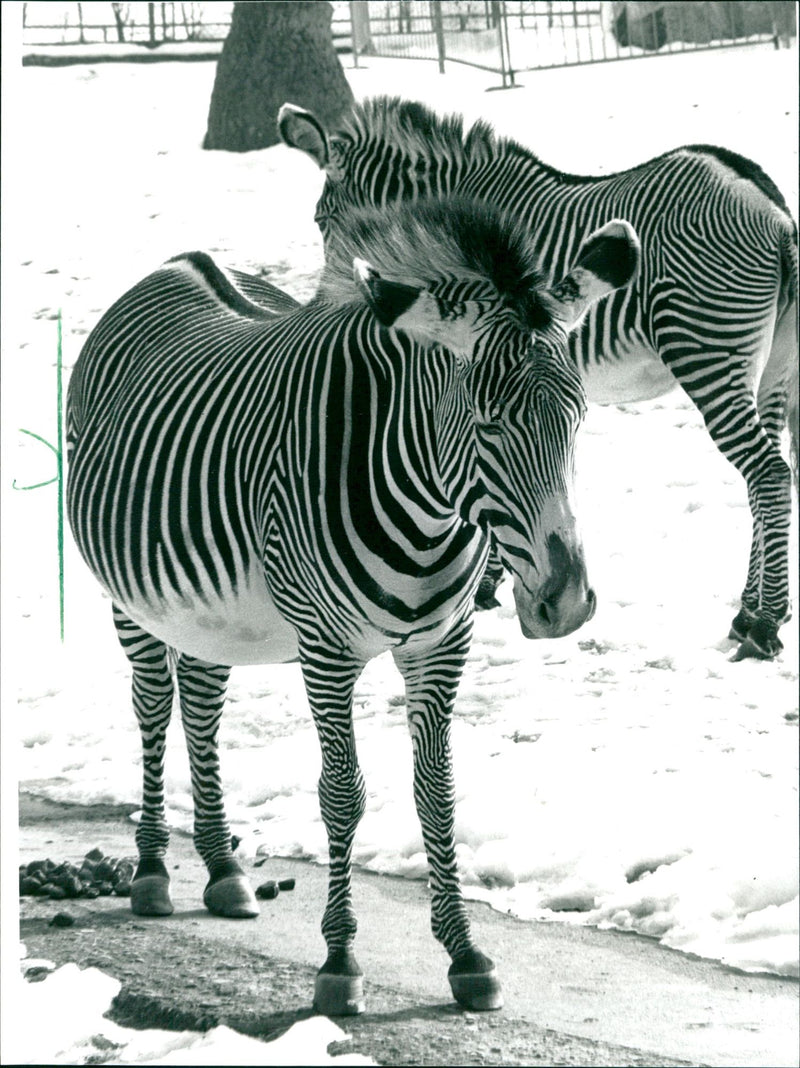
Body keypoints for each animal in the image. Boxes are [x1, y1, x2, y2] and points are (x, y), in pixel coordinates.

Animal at [67, 197, 640, 1015]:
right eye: (488, 419)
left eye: (580, 415)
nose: (566, 603)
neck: (430, 509)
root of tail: (183, 261)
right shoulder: (326, 649)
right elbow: (342, 795)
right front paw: (339, 963)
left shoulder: (442, 644)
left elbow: (437, 794)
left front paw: (466, 954)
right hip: (132, 600)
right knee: (151, 704)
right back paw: (151, 871)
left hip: (209, 613)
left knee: (201, 705)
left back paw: (223, 870)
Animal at [278, 95, 799, 661]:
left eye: (321, 218)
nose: (322, 308)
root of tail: (775, 211)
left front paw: (483, 584)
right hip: (773, 366)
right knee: (770, 473)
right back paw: (748, 613)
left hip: (708, 350)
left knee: (768, 473)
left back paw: (765, 623)